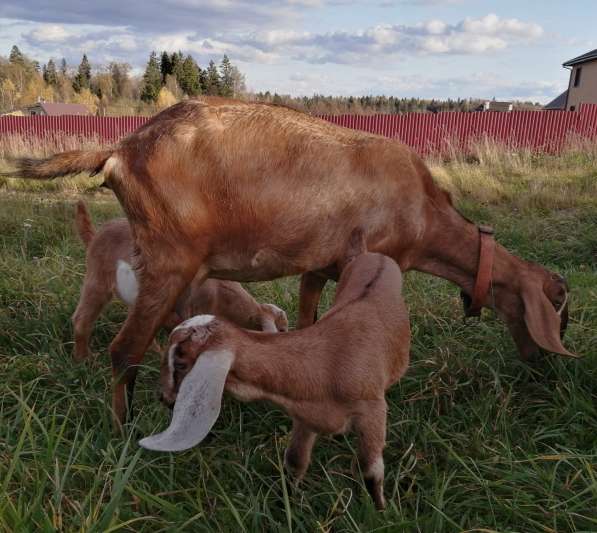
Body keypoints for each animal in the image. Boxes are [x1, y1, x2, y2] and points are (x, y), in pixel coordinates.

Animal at [4, 97, 572, 426]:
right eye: (560, 302)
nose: (545, 369)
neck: (425, 210)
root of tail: (120, 149)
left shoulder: (318, 267)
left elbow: (306, 322)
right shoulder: (369, 261)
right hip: (169, 260)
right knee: (123, 350)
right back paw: (126, 433)